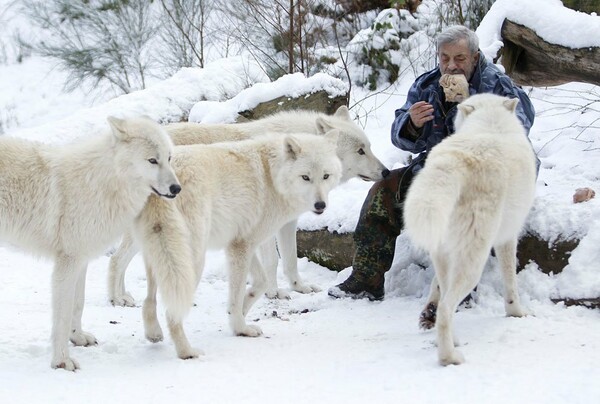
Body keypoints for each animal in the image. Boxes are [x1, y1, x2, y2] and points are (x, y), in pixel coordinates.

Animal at [0, 116, 179, 370]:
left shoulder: (81, 260)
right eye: (152, 160)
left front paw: (78, 338)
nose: (177, 188)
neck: (104, 182)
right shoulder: (67, 262)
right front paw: (62, 361)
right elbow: (63, 315)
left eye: (169, 158)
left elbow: (78, 304)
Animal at [108, 105, 390, 304]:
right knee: (116, 260)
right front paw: (274, 292)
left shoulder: (287, 222)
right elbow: (272, 262)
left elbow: (290, 260)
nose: (387, 172)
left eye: (369, 147)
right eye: (360, 151)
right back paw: (117, 299)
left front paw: (299, 288)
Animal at [134, 131, 344, 358]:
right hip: (191, 261)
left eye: (326, 176)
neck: (273, 176)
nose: (320, 205)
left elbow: (261, 283)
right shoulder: (241, 247)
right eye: (305, 177)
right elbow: (237, 294)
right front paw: (240, 327)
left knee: (149, 300)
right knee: (172, 312)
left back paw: (153, 333)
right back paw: (187, 351)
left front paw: (241, 310)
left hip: (159, 255)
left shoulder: (242, 243)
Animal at [406, 94, 536, 366]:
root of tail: (456, 160)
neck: (490, 123)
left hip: (446, 253)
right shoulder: (507, 238)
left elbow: (435, 285)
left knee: (444, 299)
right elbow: (511, 281)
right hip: (474, 261)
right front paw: (516, 312)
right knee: (447, 308)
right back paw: (449, 357)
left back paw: (449, 339)